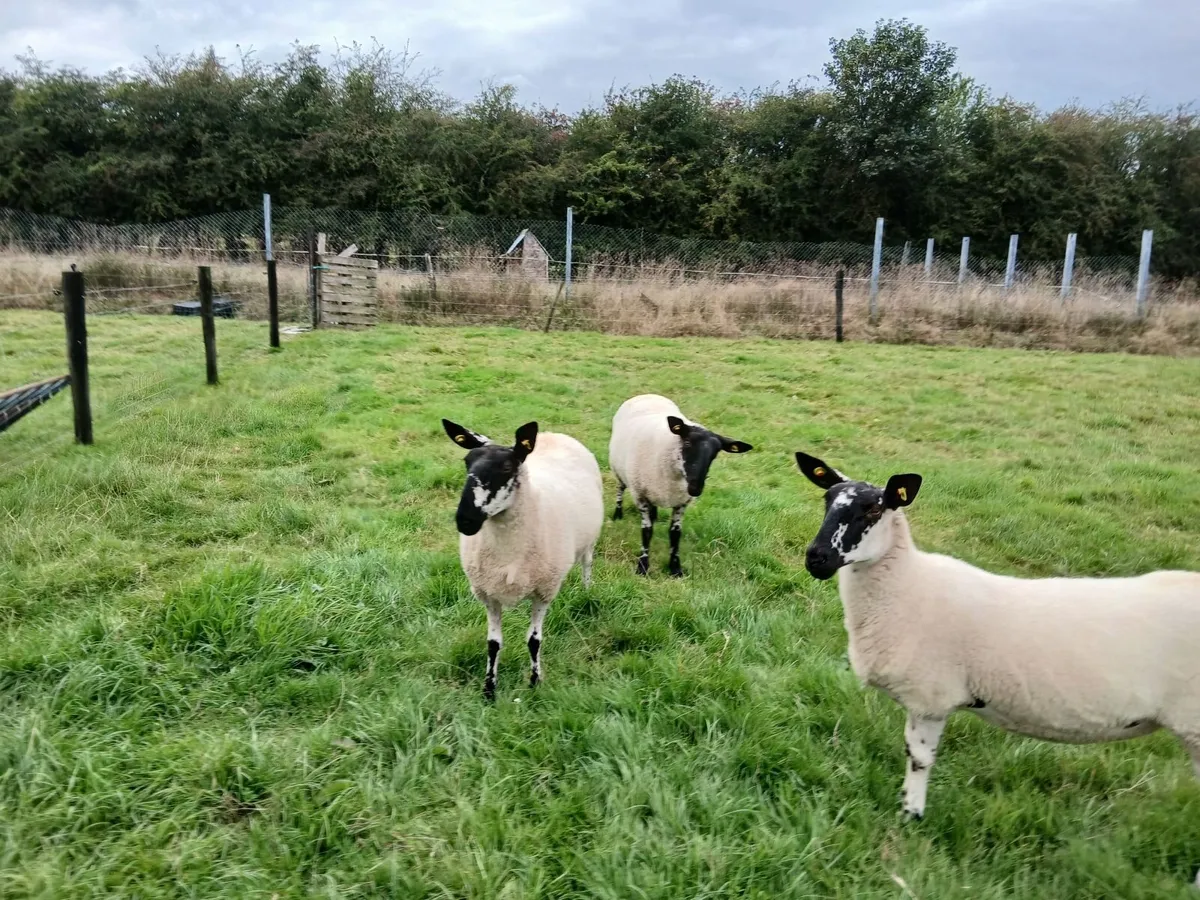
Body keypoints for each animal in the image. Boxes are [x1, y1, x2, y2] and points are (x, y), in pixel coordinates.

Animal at [442, 418, 604, 700]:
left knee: (587, 561)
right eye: (467, 462)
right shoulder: (488, 593)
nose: (465, 520)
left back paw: (587, 590)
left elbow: (533, 640)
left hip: (590, 539)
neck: (508, 551)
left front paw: (535, 682)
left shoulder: (543, 591)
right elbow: (493, 644)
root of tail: (552, 434)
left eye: (507, 466)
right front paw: (489, 689)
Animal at [608, 394, 752, 577]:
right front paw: (642, 566)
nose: (696, 488)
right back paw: (617, 513)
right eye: (688, 443)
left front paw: (675, 568)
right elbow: (647, 532)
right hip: (619, 470)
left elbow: (675, 534)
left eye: (715, 453)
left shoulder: (681, 501)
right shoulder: (640, 495)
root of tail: (648, 394)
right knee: (620, 489)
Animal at [795, 450, 1200, 884]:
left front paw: (910, 818)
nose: (816, 558)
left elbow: (919, 759)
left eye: (874, 508)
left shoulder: (929, 697)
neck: (909, 587)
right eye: (826, 499)